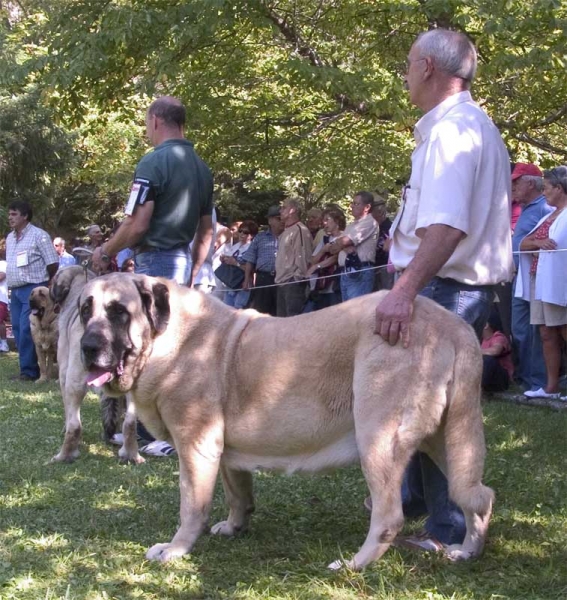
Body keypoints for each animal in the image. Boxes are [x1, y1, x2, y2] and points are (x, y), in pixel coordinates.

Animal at [50, 268, 143, 464]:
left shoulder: (64, 376)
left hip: (74, 382)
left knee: (75, 425)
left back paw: (64, 455)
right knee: (130, 423)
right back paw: (131, 454)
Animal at [77, 274, 494, 568]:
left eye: (118, 312)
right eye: (85, 310)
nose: (87, 347)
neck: (173, 339)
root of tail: (454, 327)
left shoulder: (196, 445)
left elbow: (192, 506)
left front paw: (176, 549)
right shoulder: (223, 452)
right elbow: (237, 493)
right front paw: (235, 526)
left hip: (378, 437)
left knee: (389, 516)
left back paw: (354, 565)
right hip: (446, 439)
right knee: (477, 495)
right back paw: (467, 551)